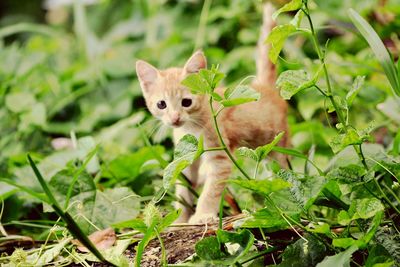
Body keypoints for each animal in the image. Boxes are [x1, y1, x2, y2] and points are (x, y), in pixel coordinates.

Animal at [137, 3, 288, 224]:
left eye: (186, 102)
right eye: (161, 104)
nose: (175, 118)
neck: (191, 127)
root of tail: (262, 86)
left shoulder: (220, 157)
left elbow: (211, 190)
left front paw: (202, 215)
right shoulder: (185, 156)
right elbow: (183, 188)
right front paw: (179, 219)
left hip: (277, 146)